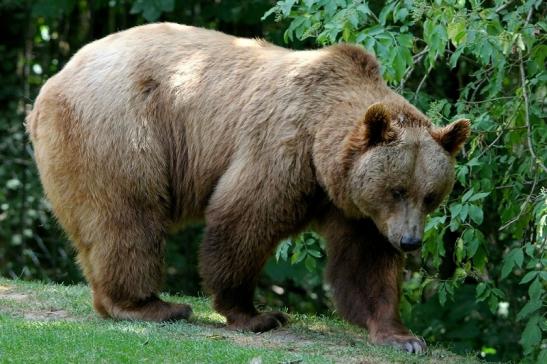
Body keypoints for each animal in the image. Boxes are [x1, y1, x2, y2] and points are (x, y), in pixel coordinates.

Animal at [25, 22, 470, 352]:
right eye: (397, 189)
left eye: (430, 195)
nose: (410, 241)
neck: (323, 150)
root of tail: (51, 83)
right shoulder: (283, 147)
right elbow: (244, 219)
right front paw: (256, 314)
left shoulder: (356, 206)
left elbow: (365, 263)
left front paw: (402, 335)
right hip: (119, 130)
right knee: (128, 216)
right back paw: (152, 305)